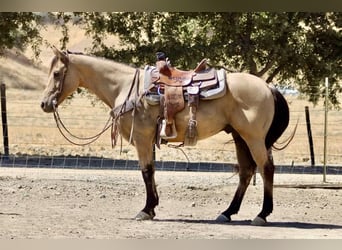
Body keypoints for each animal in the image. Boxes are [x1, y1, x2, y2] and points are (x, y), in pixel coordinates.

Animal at [40, 46, 292, 226]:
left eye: (56, 73)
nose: (44, 104)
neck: (124, 87)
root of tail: (268, 87)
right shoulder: (148, 139)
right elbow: (151, 172)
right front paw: (152, 207)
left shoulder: (141, 138)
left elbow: (145, 171)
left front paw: (145, 210)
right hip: (240, 137)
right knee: (246, 172)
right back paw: (227, 213)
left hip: (254, 138)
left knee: (266, 168)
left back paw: (261, 215)